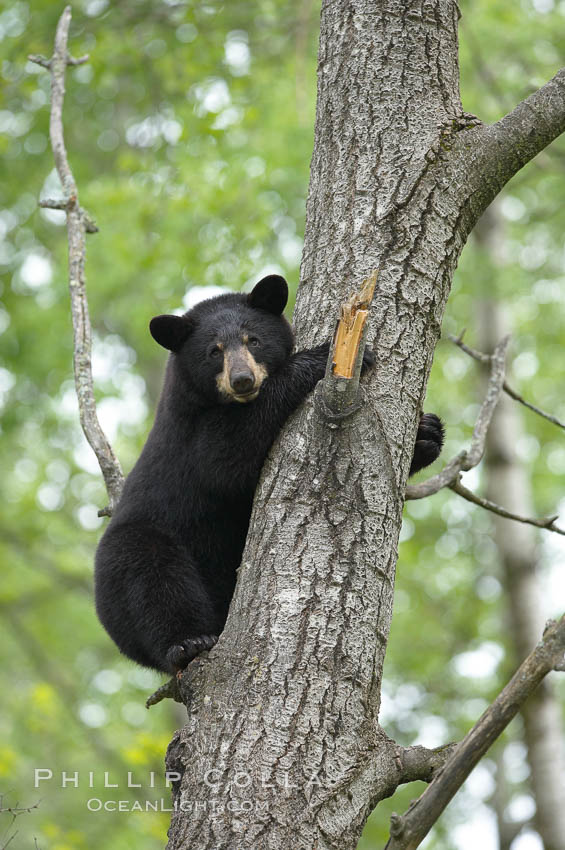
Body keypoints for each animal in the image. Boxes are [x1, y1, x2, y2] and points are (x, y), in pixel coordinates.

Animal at [94, 275, 444, 674]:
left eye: (254, 340)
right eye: (213, 351)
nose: (242, 379)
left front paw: (428, 434)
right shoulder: (189, 433)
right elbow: (225, 458)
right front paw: (319, 358)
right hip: (136, 555)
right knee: (152, 579)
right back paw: (187, 642)